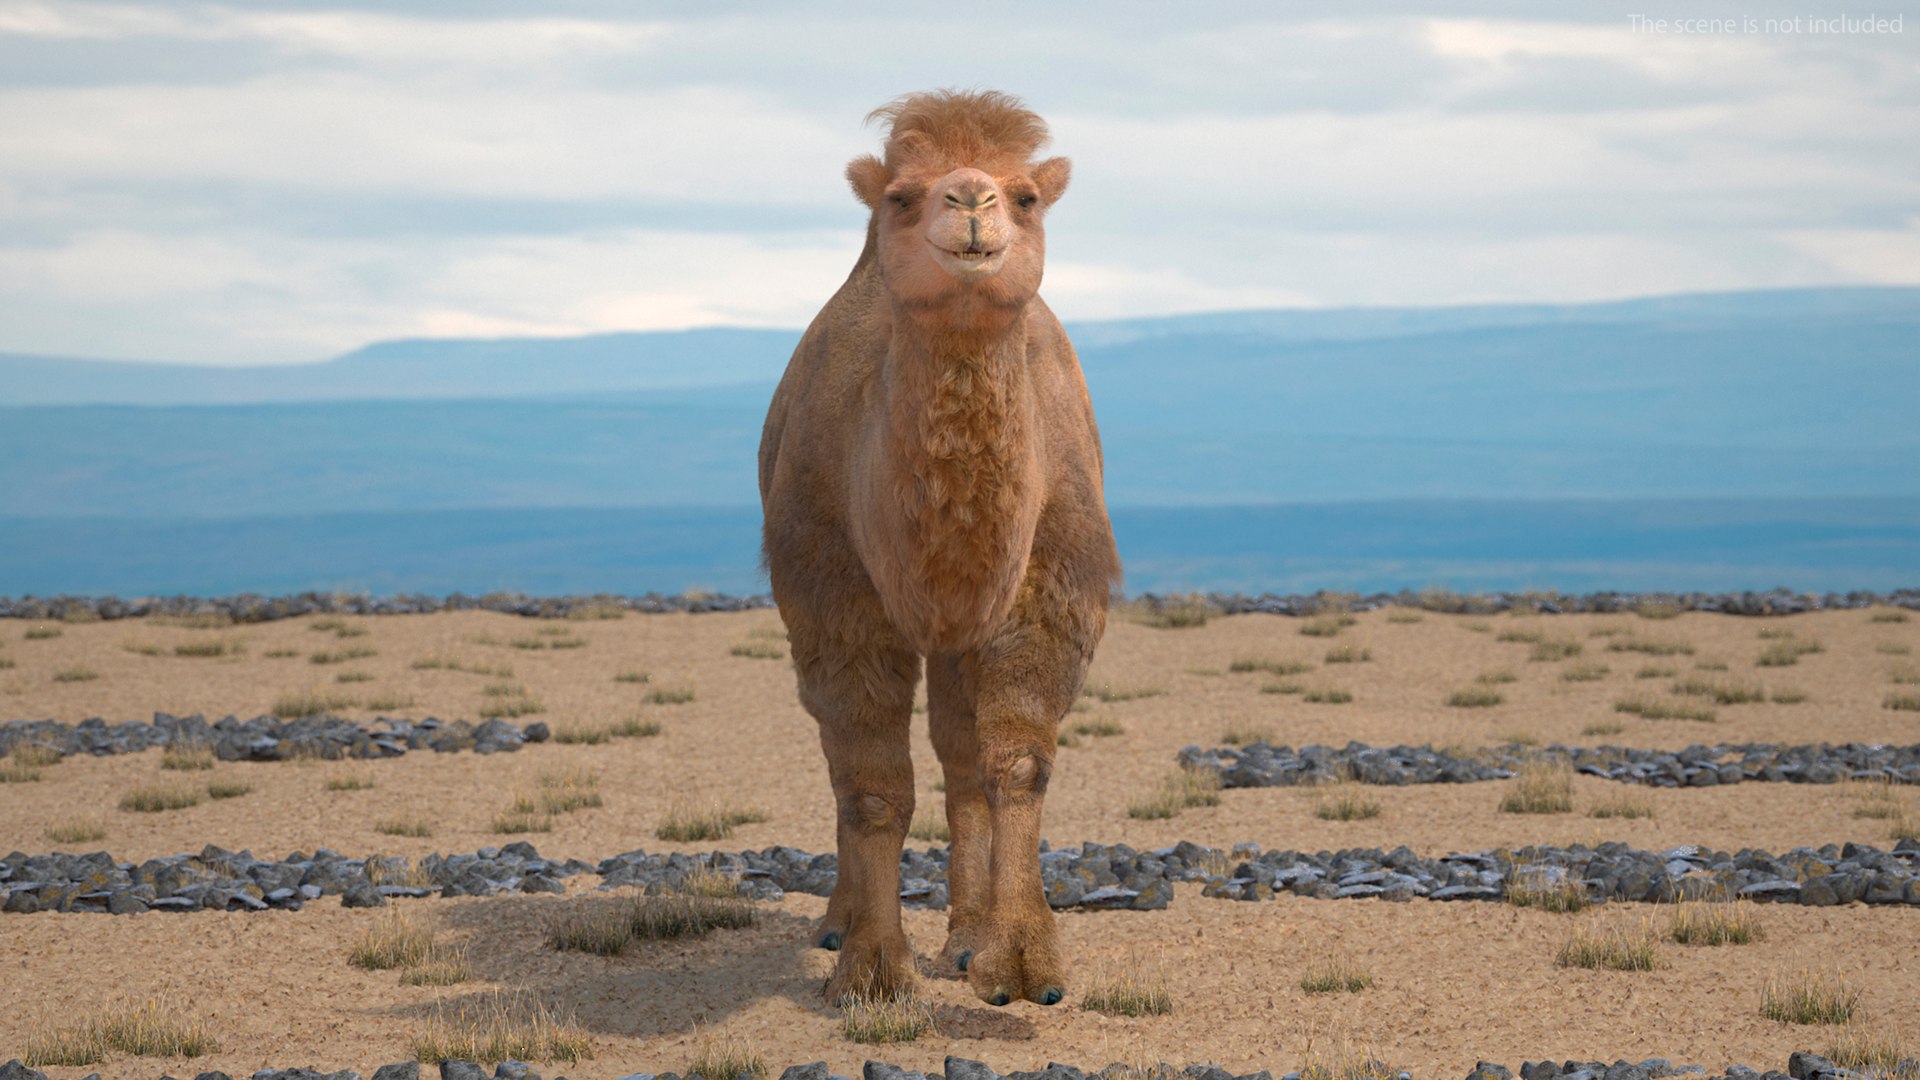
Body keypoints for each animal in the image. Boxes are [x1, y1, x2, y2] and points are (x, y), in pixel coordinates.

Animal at [757, 89, 1120, 1008]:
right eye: (901, 196)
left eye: (1025, 195)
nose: (971, 201)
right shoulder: (833, 593)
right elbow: (873, 788)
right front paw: (871, 969)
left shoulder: (1046, 587)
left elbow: (1016, 763)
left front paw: (1021, 963)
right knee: (840, 754)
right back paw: (841, 920)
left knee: (960, 757)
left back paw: (964, 935)